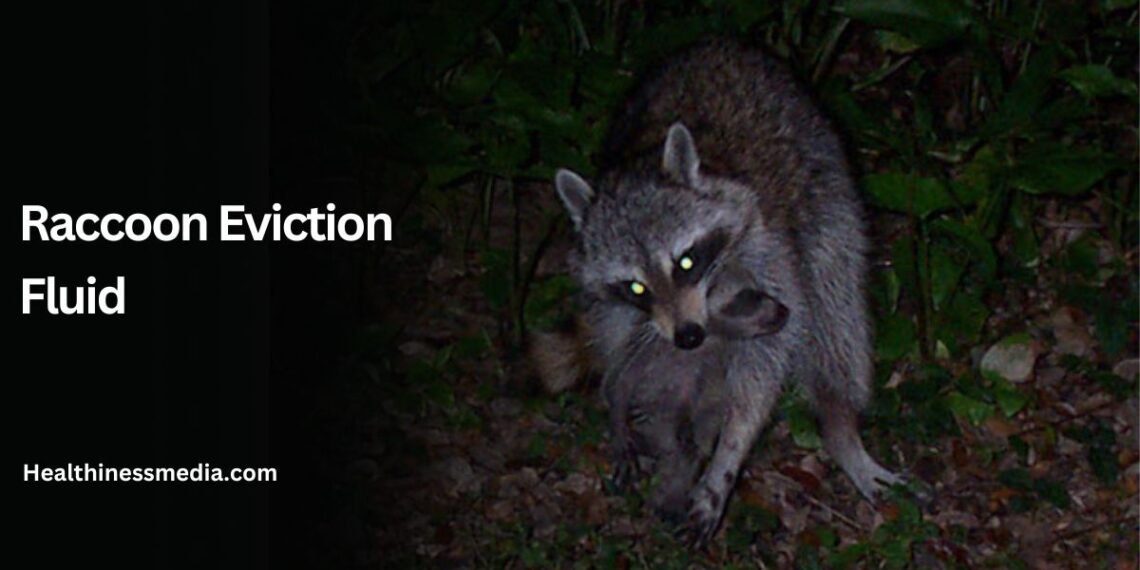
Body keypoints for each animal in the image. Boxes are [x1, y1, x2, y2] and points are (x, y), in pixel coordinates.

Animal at [541, 39, 904, 545]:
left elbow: (763, 372)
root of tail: (717, 44)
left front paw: (727, 458)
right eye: (636, 285)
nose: (688, 336)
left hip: (830, 194)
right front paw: (624, 414)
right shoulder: (621, 308)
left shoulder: (770, 257)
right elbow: (627, 358)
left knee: (837, 311)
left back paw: (840, 425)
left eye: (685, 261)